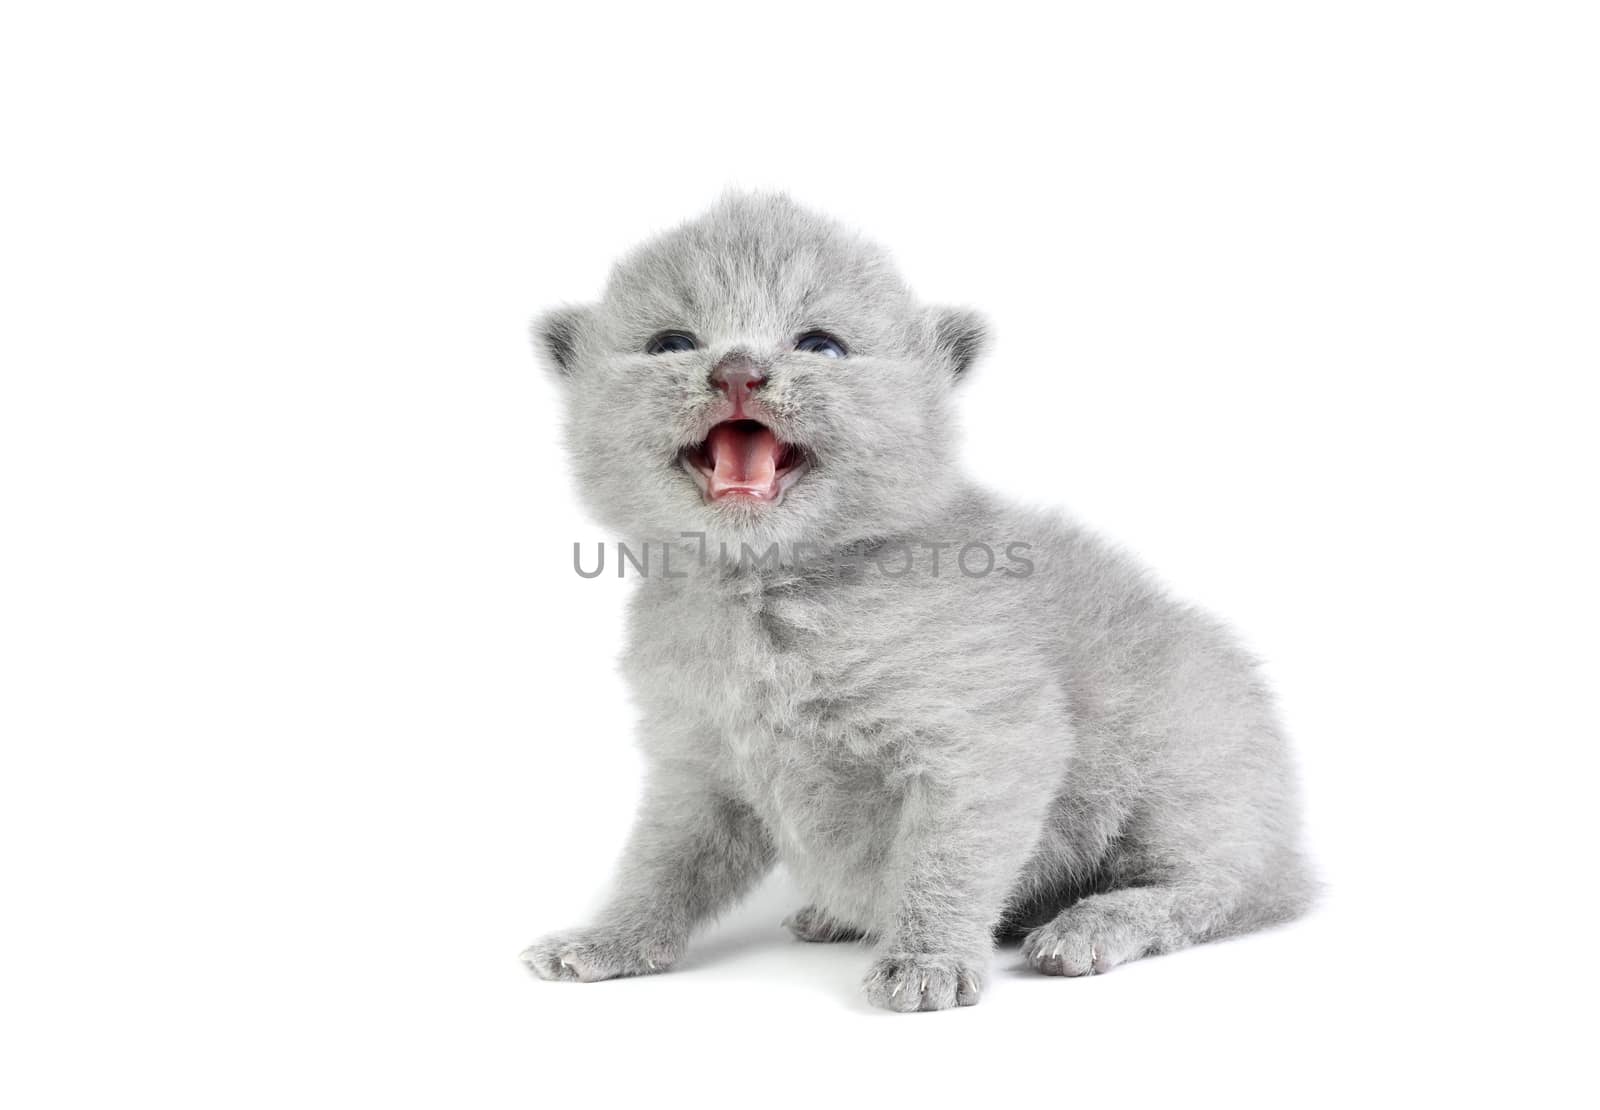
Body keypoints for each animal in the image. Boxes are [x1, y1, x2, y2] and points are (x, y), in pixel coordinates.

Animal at [524, 193, 1312, 1017]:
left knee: (1217, 890)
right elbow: (660, 866)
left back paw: (1091, 926)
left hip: (1187, 769)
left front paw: (928, 958)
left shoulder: (985, 743)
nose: (738, 371)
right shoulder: (698, 767)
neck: (766, 594)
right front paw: (608, 940)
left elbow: (946, 860)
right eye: (671, 343)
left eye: (823, 346)